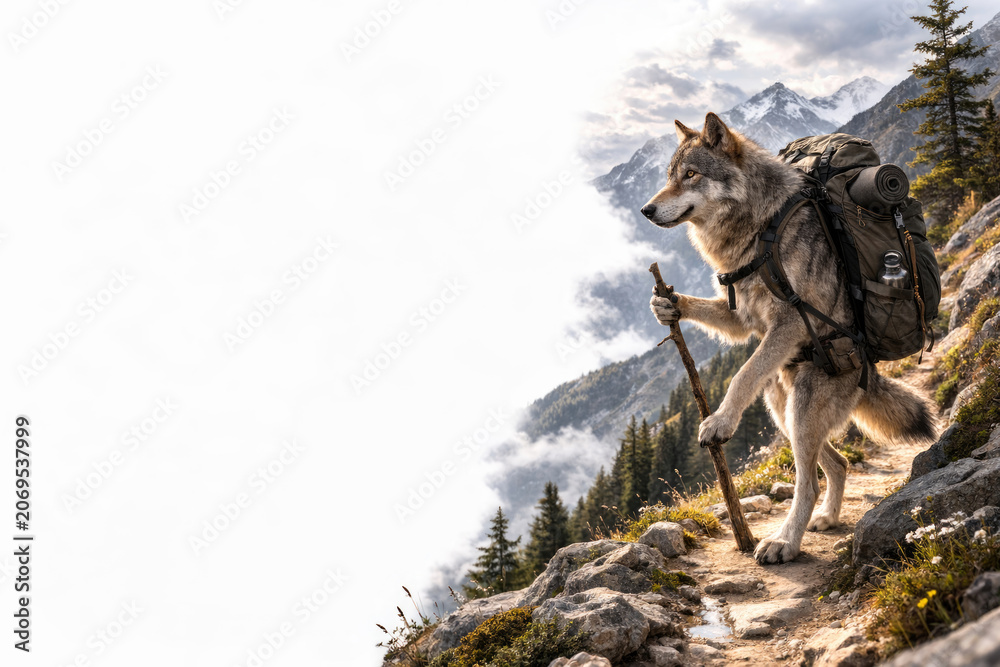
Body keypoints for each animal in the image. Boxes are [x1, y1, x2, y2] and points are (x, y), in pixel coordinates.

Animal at [644, 113, 936, 564]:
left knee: (810, 481)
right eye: (670, 177)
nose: (646, 209)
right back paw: (826, 519)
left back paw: (784, 542)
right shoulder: (743, 317)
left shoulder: (789, 323)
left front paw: (720, 420)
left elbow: (741, 374)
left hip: (800, 408)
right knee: (836, 465)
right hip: (783, 410)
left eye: (690, 175)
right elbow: (713, 319)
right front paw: (667, 304)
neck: (761, 227)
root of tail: (869, 372)